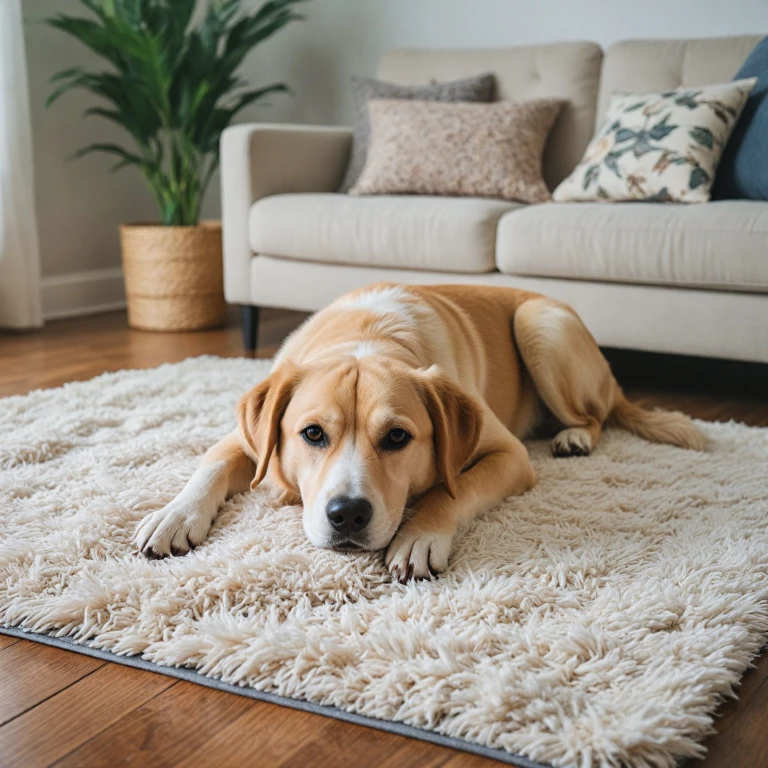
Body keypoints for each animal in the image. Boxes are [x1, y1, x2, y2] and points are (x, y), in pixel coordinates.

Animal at [135, 284, 704, 584]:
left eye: (397, 438)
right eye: (312, 434)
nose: (347, 515)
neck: (366, 339)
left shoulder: (510, 455)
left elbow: (455, 488)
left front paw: (419, 535)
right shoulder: (250, 441)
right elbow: (211, 464)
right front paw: (173, 515)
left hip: (539, 325)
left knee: (596, 415)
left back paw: (574, 437)